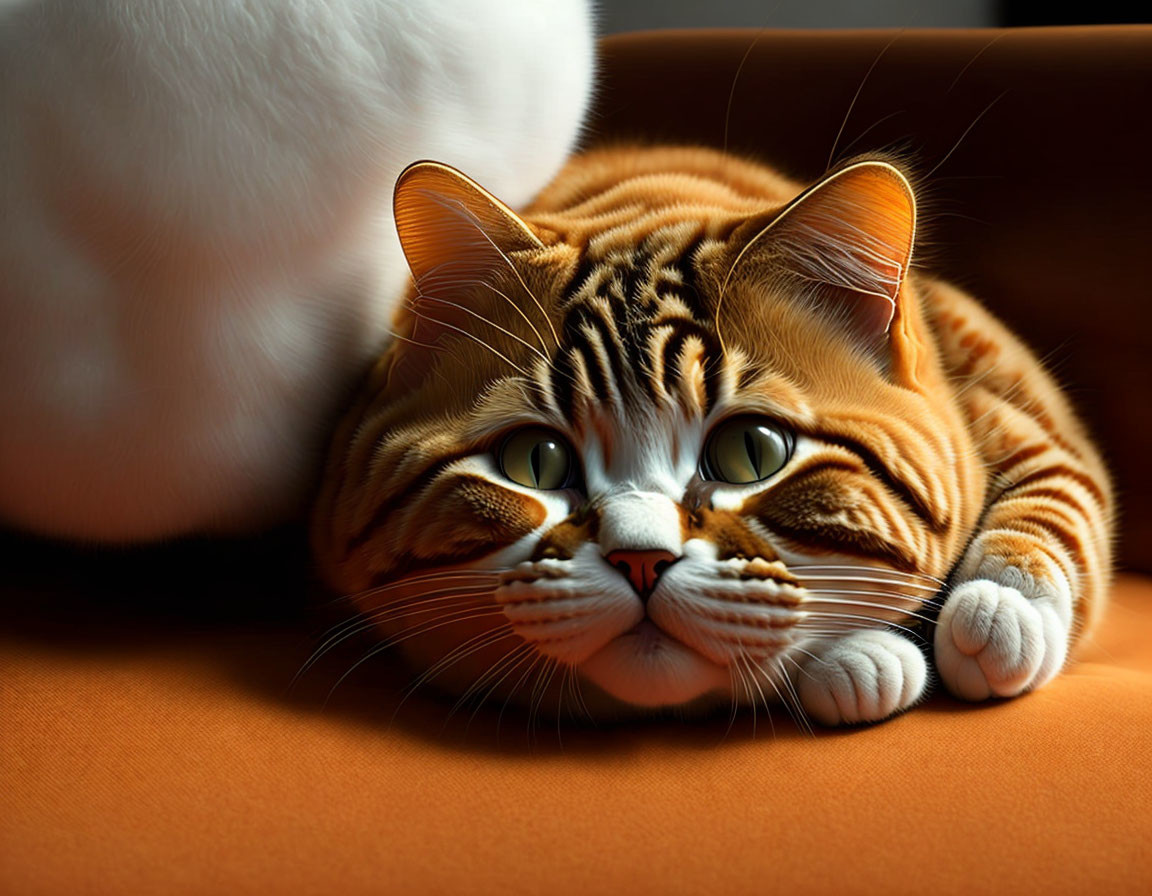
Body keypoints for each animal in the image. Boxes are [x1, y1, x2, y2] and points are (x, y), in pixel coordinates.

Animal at [311, 143, 1110, 723]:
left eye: (751, 452)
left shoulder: (988, 373)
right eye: (534, 461)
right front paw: (861, 662)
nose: (640, 559)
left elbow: (1061, 483)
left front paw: (999, 612)